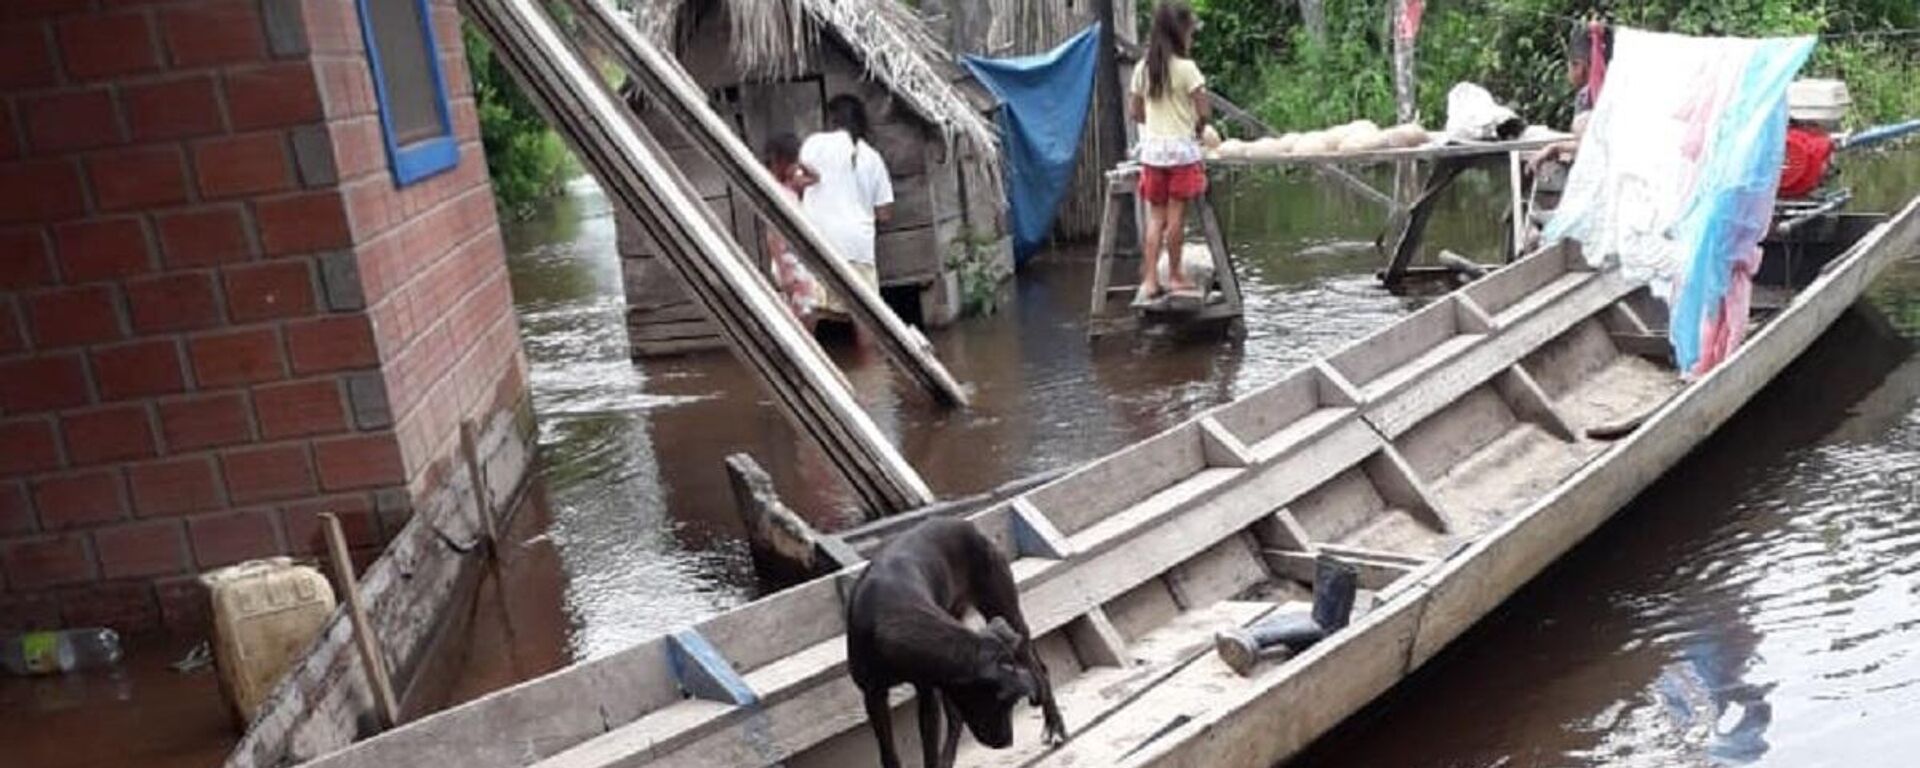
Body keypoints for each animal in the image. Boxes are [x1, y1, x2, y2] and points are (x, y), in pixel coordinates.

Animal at [848, 514, 1075, 768]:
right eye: (1001, 702)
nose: (1007, 742)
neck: (893, 610)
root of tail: (966, 524)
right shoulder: (873, 695)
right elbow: (889, 752)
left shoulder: (927, 694)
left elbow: (929, 748)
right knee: (957, 715)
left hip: (1005, 612)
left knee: (1039, 669)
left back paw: (1055, 727)